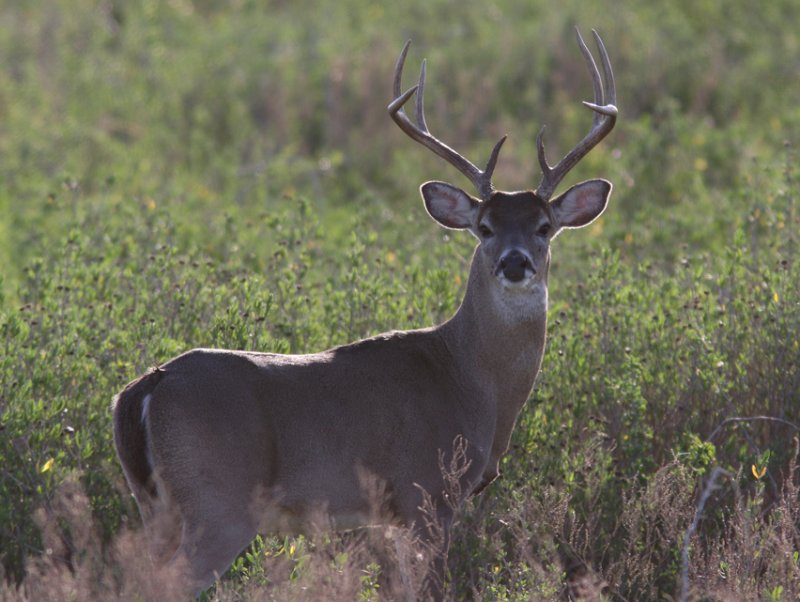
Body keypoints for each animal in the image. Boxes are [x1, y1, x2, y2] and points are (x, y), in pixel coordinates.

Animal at [111, 29, 620, 596]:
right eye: (485, 227)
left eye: (544, 226)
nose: (514, 262)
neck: (472, 380)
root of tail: (144, 388)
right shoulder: (427, 493)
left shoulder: (393, 515)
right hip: (217, 502)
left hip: (154, 505)